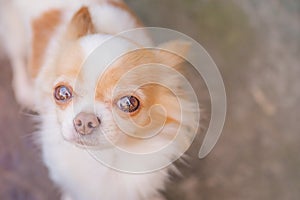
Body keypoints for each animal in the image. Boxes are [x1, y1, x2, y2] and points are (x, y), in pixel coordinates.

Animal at [1, 0, 200, 199]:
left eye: (129, 103)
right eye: (62, 93)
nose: (84, 120)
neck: (108, 156)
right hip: (15, 31)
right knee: (17, 56)